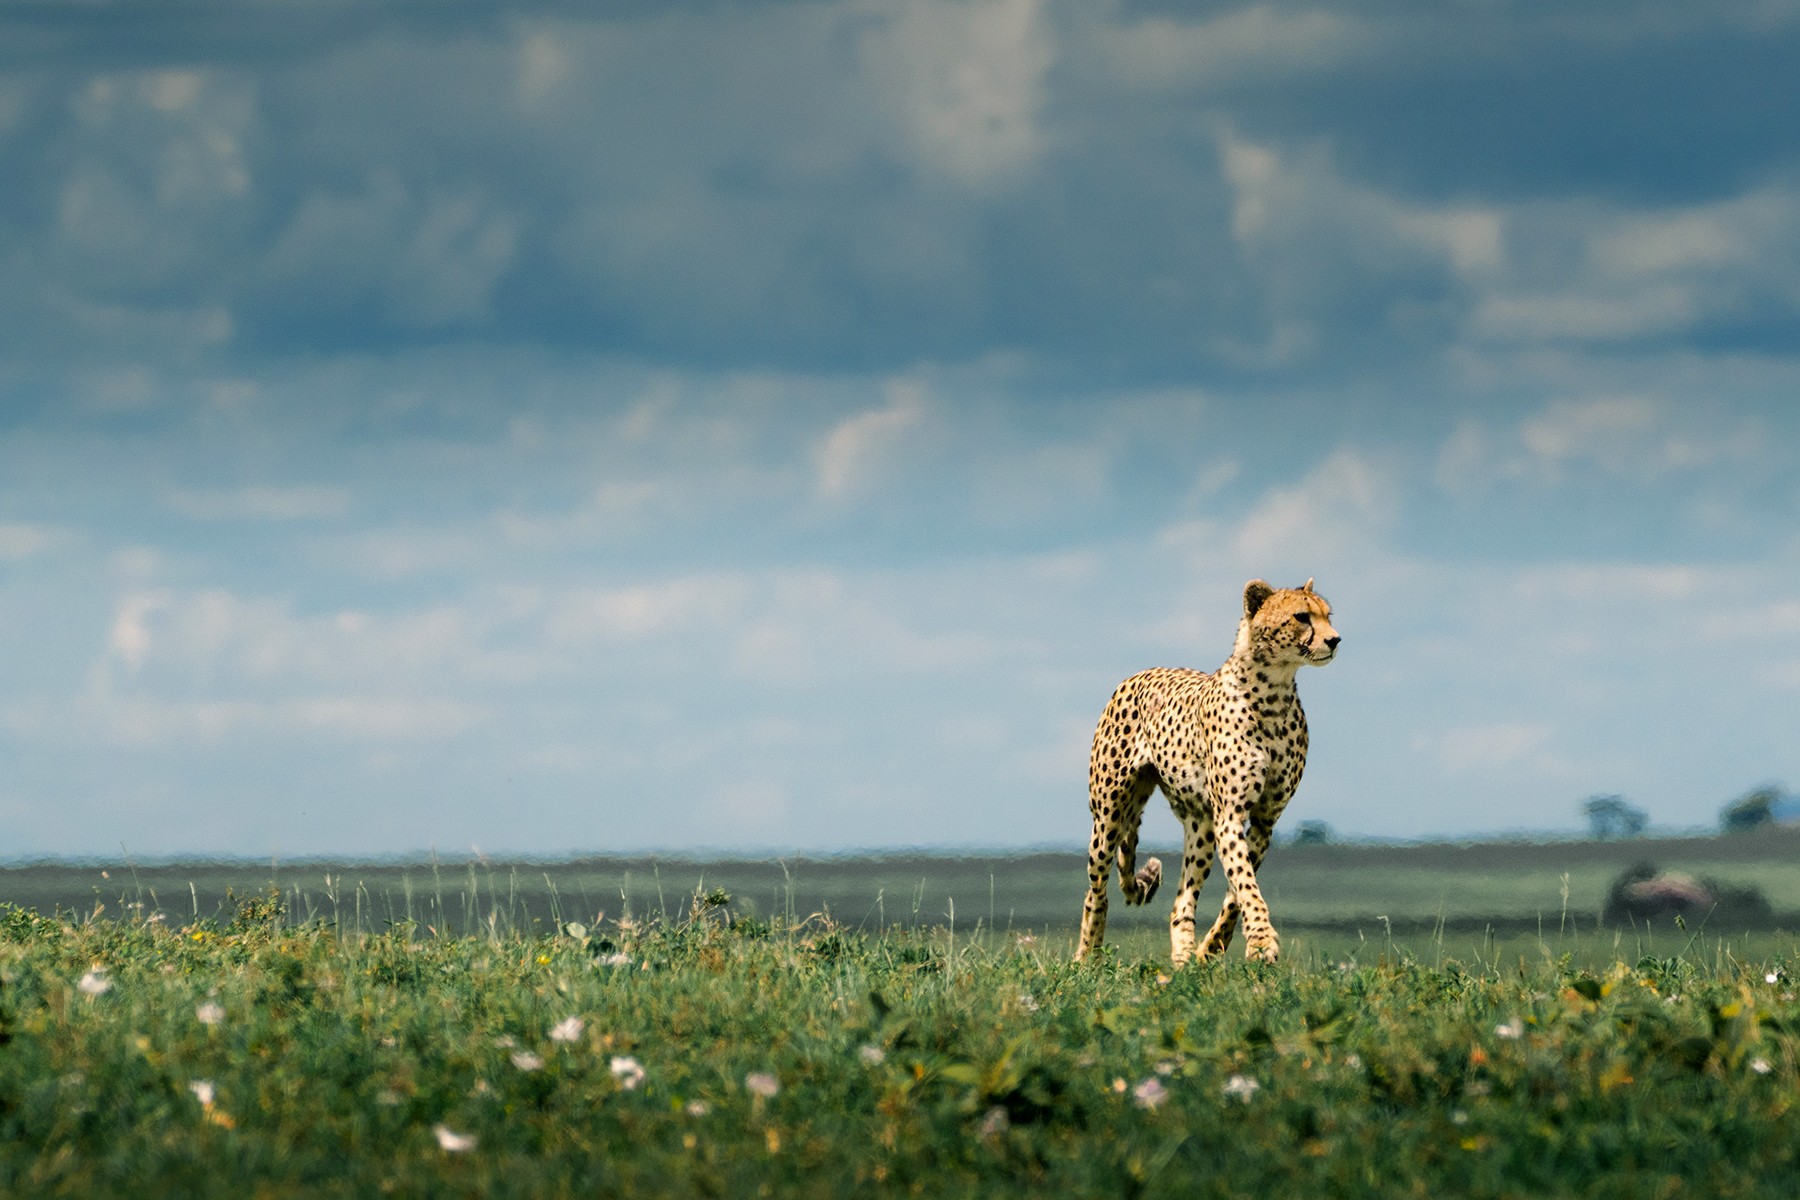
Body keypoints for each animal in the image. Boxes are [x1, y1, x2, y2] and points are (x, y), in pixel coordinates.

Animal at [1075, 579, 1340, 966]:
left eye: (1327, 615)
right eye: (1301, 617)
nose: (1335, 639)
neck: (1274, 688)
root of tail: (1139, 674)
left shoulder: (1264, 819)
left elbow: (1237, 891)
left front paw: (1213, 947)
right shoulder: (1230, 813)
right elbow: (1245, 882)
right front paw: (1262, 941)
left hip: (1200, 828)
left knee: (1182, 900)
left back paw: (1184, 960)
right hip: (1108, 815)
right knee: (1096, 890)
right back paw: (1087, 955)